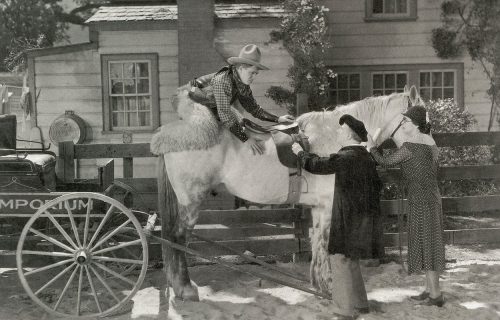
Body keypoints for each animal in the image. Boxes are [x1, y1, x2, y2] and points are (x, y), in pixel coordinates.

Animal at [149, 85, 422, 300]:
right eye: (421, 120)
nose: (427, 151)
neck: (334, 138)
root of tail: (169, 135)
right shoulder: (328, 206)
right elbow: (324, 244)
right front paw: (328, 288)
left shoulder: (318, 208)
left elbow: (316, 244)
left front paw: (319, 286)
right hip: (191, 201)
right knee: (177, 237)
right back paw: (185, 289)